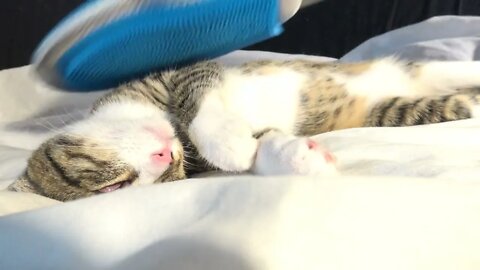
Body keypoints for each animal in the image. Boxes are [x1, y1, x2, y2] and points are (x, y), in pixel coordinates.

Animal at [8, 58, 480, 201]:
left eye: (112, 183)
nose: (165, 156)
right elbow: (264, 143)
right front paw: (301, 158)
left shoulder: (188, 71)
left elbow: (196, 98)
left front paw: (228, 142)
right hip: (408, 108)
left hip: (428, 70)